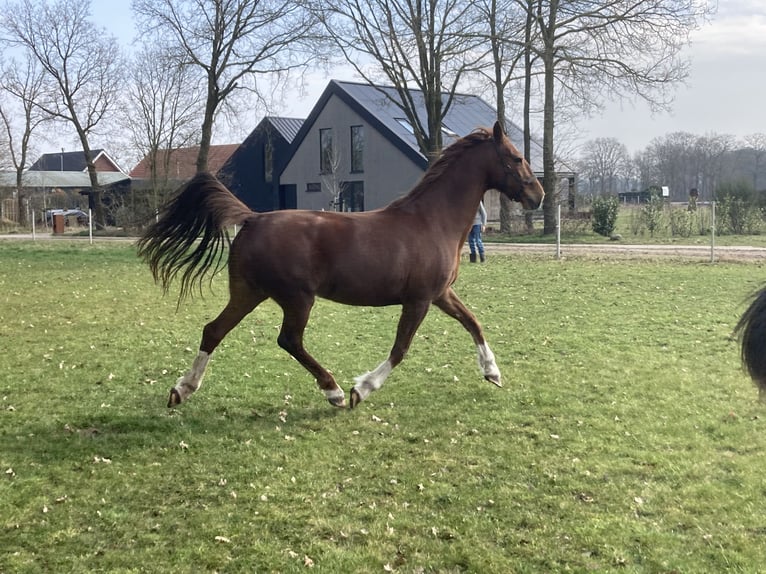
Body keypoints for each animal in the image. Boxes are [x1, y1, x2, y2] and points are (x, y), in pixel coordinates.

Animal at [137, 121, 544, 409]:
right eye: (517, 157)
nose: (537, 195)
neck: (432, 220)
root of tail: (253, 218)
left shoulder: (441, 293)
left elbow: (473, 323)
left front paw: (493, 373)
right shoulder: (419, 300)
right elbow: (401, 348)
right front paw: (360, 390)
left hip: (249, 293)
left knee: (213, 330)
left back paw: (182, 390)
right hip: (297, 298)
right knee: (289, 340)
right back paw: (331, 390)